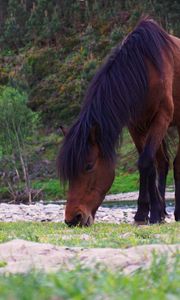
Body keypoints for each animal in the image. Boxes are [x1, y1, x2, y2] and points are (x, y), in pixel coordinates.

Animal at [57, 17, 180, 226]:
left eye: (88, 166)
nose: (73, 218)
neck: (145, 69)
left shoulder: (161, 118)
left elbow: (145, 162)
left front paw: (153, 214)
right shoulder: (136, 126)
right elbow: (147, 165)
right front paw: (144, 213)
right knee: (163, 162)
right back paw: (164, 211)